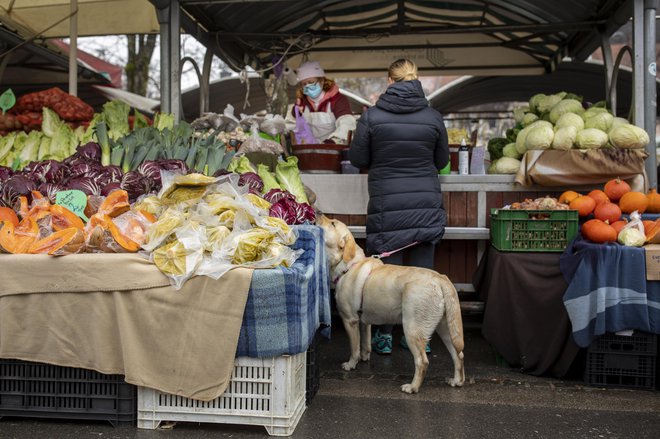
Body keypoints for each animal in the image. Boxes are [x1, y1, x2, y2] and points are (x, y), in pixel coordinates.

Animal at [318, 217, 464, 396]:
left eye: (332, 223)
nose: (317, 213)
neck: (349, 265)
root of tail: (441, 279)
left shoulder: (350, 320)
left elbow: (354, 347)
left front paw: (351, 364)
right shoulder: (364, 321)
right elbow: (365, 343)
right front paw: (365, 358)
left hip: (412, 328)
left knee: (422, 361)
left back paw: (412, 387)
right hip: (446, 329)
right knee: (458, 355)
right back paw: (457, 381)